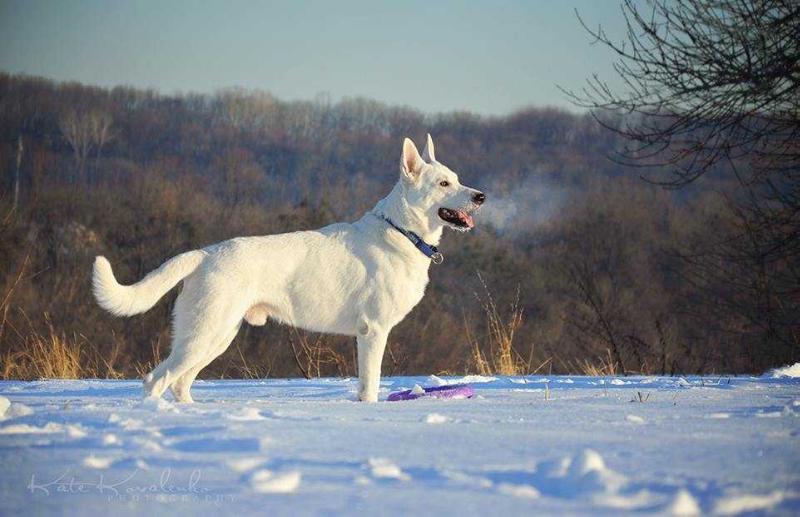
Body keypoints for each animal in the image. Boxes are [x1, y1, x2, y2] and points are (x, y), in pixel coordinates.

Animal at [90, 135, 484, 402]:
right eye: (443, 184)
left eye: (457, 178)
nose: (481, 196)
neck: (401, 231)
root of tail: (205, 253)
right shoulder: (372, 332)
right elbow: (371, 387)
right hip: (203, 334)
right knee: (156, 380)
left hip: (216, 336)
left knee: (179, 382)